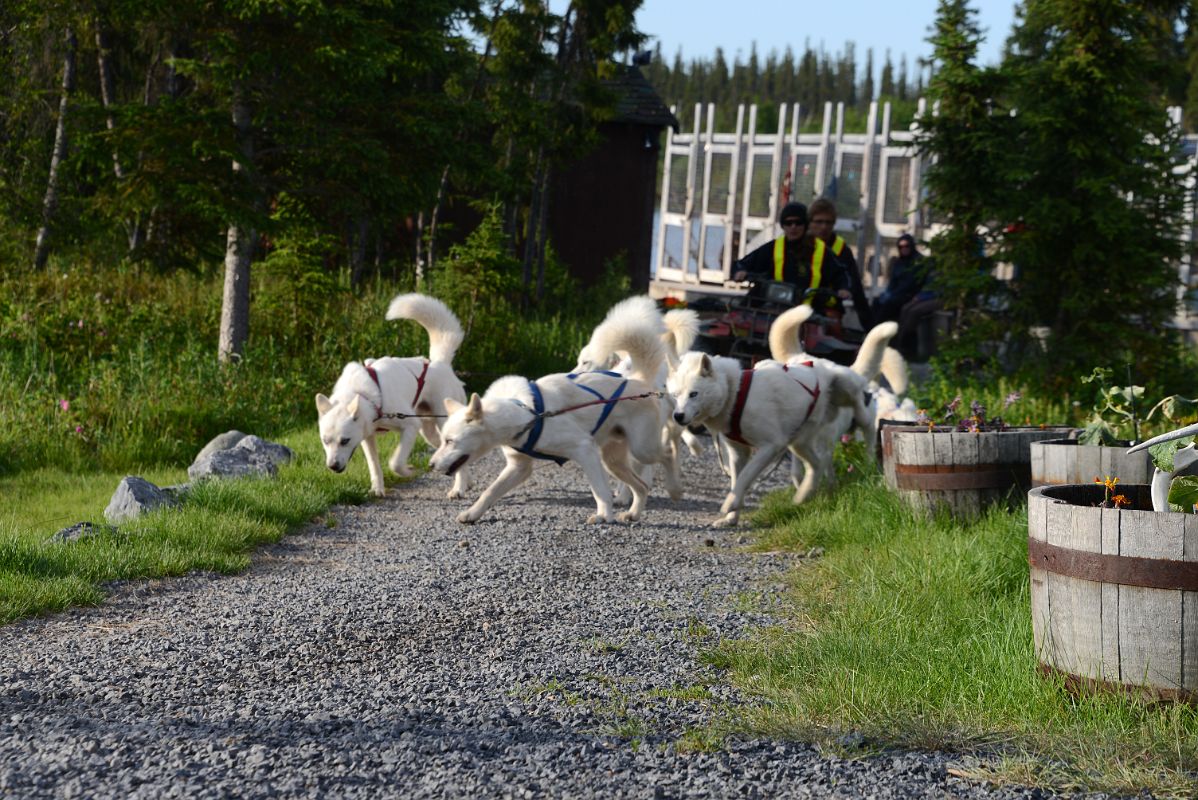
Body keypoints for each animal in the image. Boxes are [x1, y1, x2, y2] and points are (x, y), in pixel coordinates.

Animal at [313, 291, 467, 495]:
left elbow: (395, 462)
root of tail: (439, 363)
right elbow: (374, 466)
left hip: (442, 422)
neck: (364, 394)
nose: (332, 466)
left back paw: (459, 488)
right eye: (325, 441)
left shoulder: (410, 426)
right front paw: (377, 489)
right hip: (430, 432)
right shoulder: (367, 437)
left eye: (345, 441)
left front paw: (408, 471)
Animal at [431, 295, 675, 524]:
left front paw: (604, 515)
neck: (526, 414)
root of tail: (638, 380)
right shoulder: (518, 467)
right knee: (642, 486)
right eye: (443, 440)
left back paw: (676, 486)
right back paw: (634, 513)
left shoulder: (584, 450)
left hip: (641, 448)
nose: (431, 464)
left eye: (450, 441)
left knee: (667, 455)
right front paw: (472, 514)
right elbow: (490, 492)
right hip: (613, 461)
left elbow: (600, 491)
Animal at [670, 306, 896, 524]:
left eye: (694, 394)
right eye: (675, 395)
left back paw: (869, 456)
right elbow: (738, 480)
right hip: (799, 442)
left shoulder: (770, 446)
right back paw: (804, 494)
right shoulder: (738, 453)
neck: (735, 394)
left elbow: (746, 476)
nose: (678, 416)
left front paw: (729, 505)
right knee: (816, 465)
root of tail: (809, 358)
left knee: (864, 419)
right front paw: (732, 517)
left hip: (846, 390)